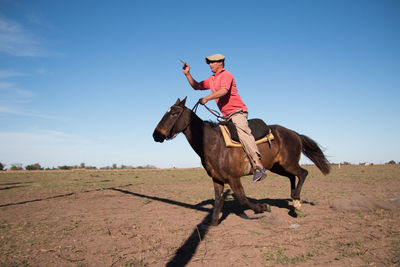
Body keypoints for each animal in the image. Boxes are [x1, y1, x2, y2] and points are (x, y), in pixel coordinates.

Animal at [152, 97, 330, 227]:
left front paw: (263, 207)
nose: (156, 134)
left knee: (303, 173)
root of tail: (294, 133)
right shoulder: (217, 179)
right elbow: (218, 201)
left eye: (174, 113)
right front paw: (213, 223)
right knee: (293, 177)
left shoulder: (233, 178)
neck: (213, 143)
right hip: (277, 166)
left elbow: (243, 200)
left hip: (288, 163)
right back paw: (294, 200)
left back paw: (297, 202)